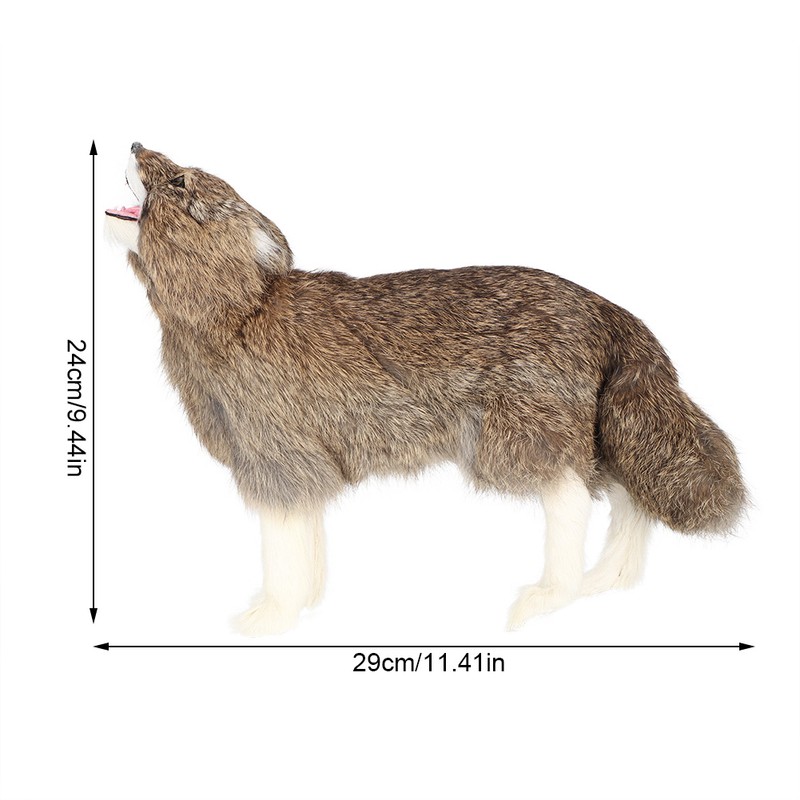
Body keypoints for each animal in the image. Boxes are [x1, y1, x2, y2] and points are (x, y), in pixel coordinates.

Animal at [105, 143, 745, 635]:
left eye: (180, 180)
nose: (135, 144)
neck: (238, 309)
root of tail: (607, 311)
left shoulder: (276, 457)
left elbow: (282, 550)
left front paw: (272, 617)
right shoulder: (304, 465)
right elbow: (309, 547)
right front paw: (305, 604)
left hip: (516, 434)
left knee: (571, 497)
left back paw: (547, 597)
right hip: (596, 431)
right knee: (629, 495)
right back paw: (608, 579)